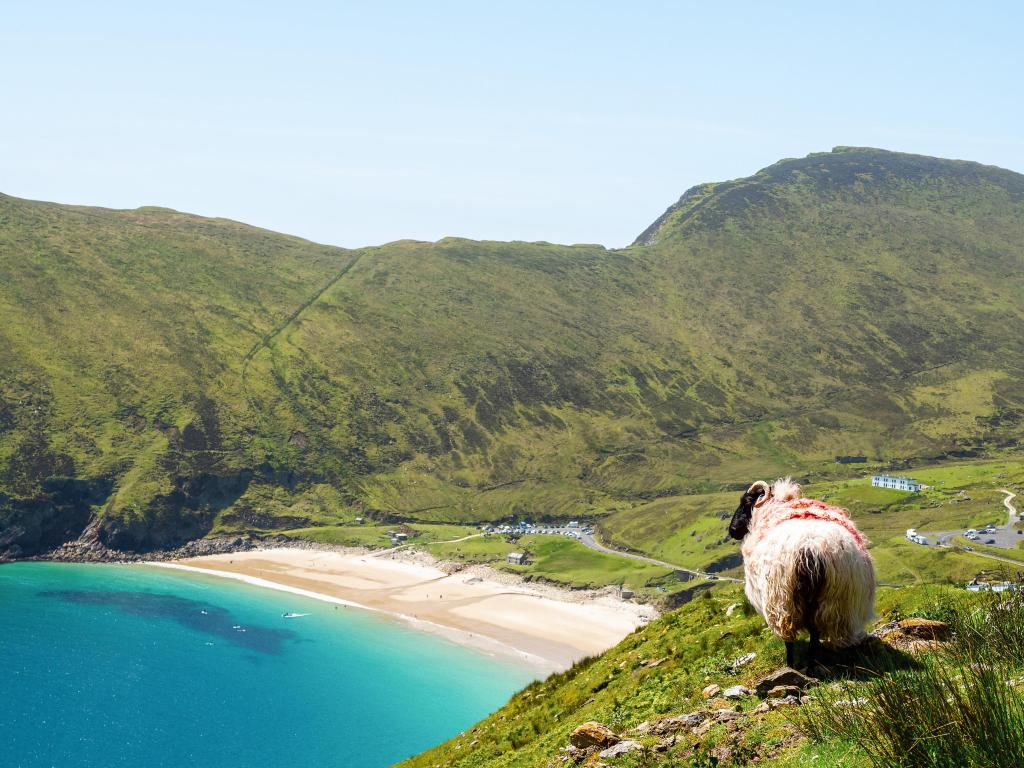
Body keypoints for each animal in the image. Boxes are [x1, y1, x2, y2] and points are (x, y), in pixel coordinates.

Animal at [724, 479, 876, 671]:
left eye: (745, 502)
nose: (732, 530)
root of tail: (811, 549)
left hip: (783, 600)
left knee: (791, 638)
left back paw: (793, 666)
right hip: (834, 602)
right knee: (815, 633)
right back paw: (812, 665)